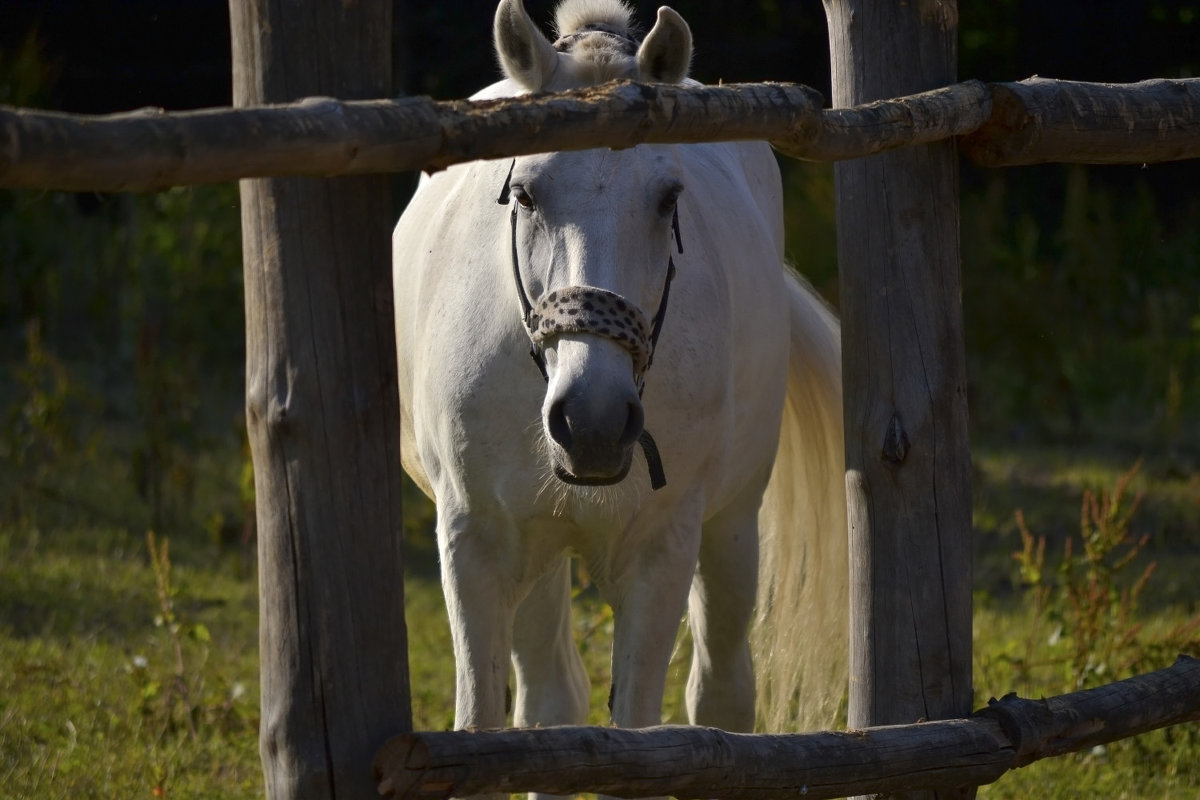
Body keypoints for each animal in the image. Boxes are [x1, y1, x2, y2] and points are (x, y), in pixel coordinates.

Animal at [393, 0, 844, 743]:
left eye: (668, 198)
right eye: (524, 194)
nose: (592, 422)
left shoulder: (660, 554)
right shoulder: (474, 543)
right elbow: (483, 720)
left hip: (732, 527)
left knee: (721, 690)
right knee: (551, 696)